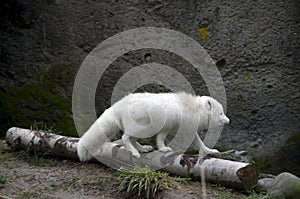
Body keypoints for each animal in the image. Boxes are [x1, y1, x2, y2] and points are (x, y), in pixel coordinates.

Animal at [77, 92, 230, 162]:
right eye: (221, 113)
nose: (228, 121)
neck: (195, 110)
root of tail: (118, 105)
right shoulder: (176, 128)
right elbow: (162, 139)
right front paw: (164, 149)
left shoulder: (178, 128)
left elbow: (199, 144)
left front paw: (211, 151)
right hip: (140, 127)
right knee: (125, 138)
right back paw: (135, 152)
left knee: (132, 139)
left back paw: (143, 149)